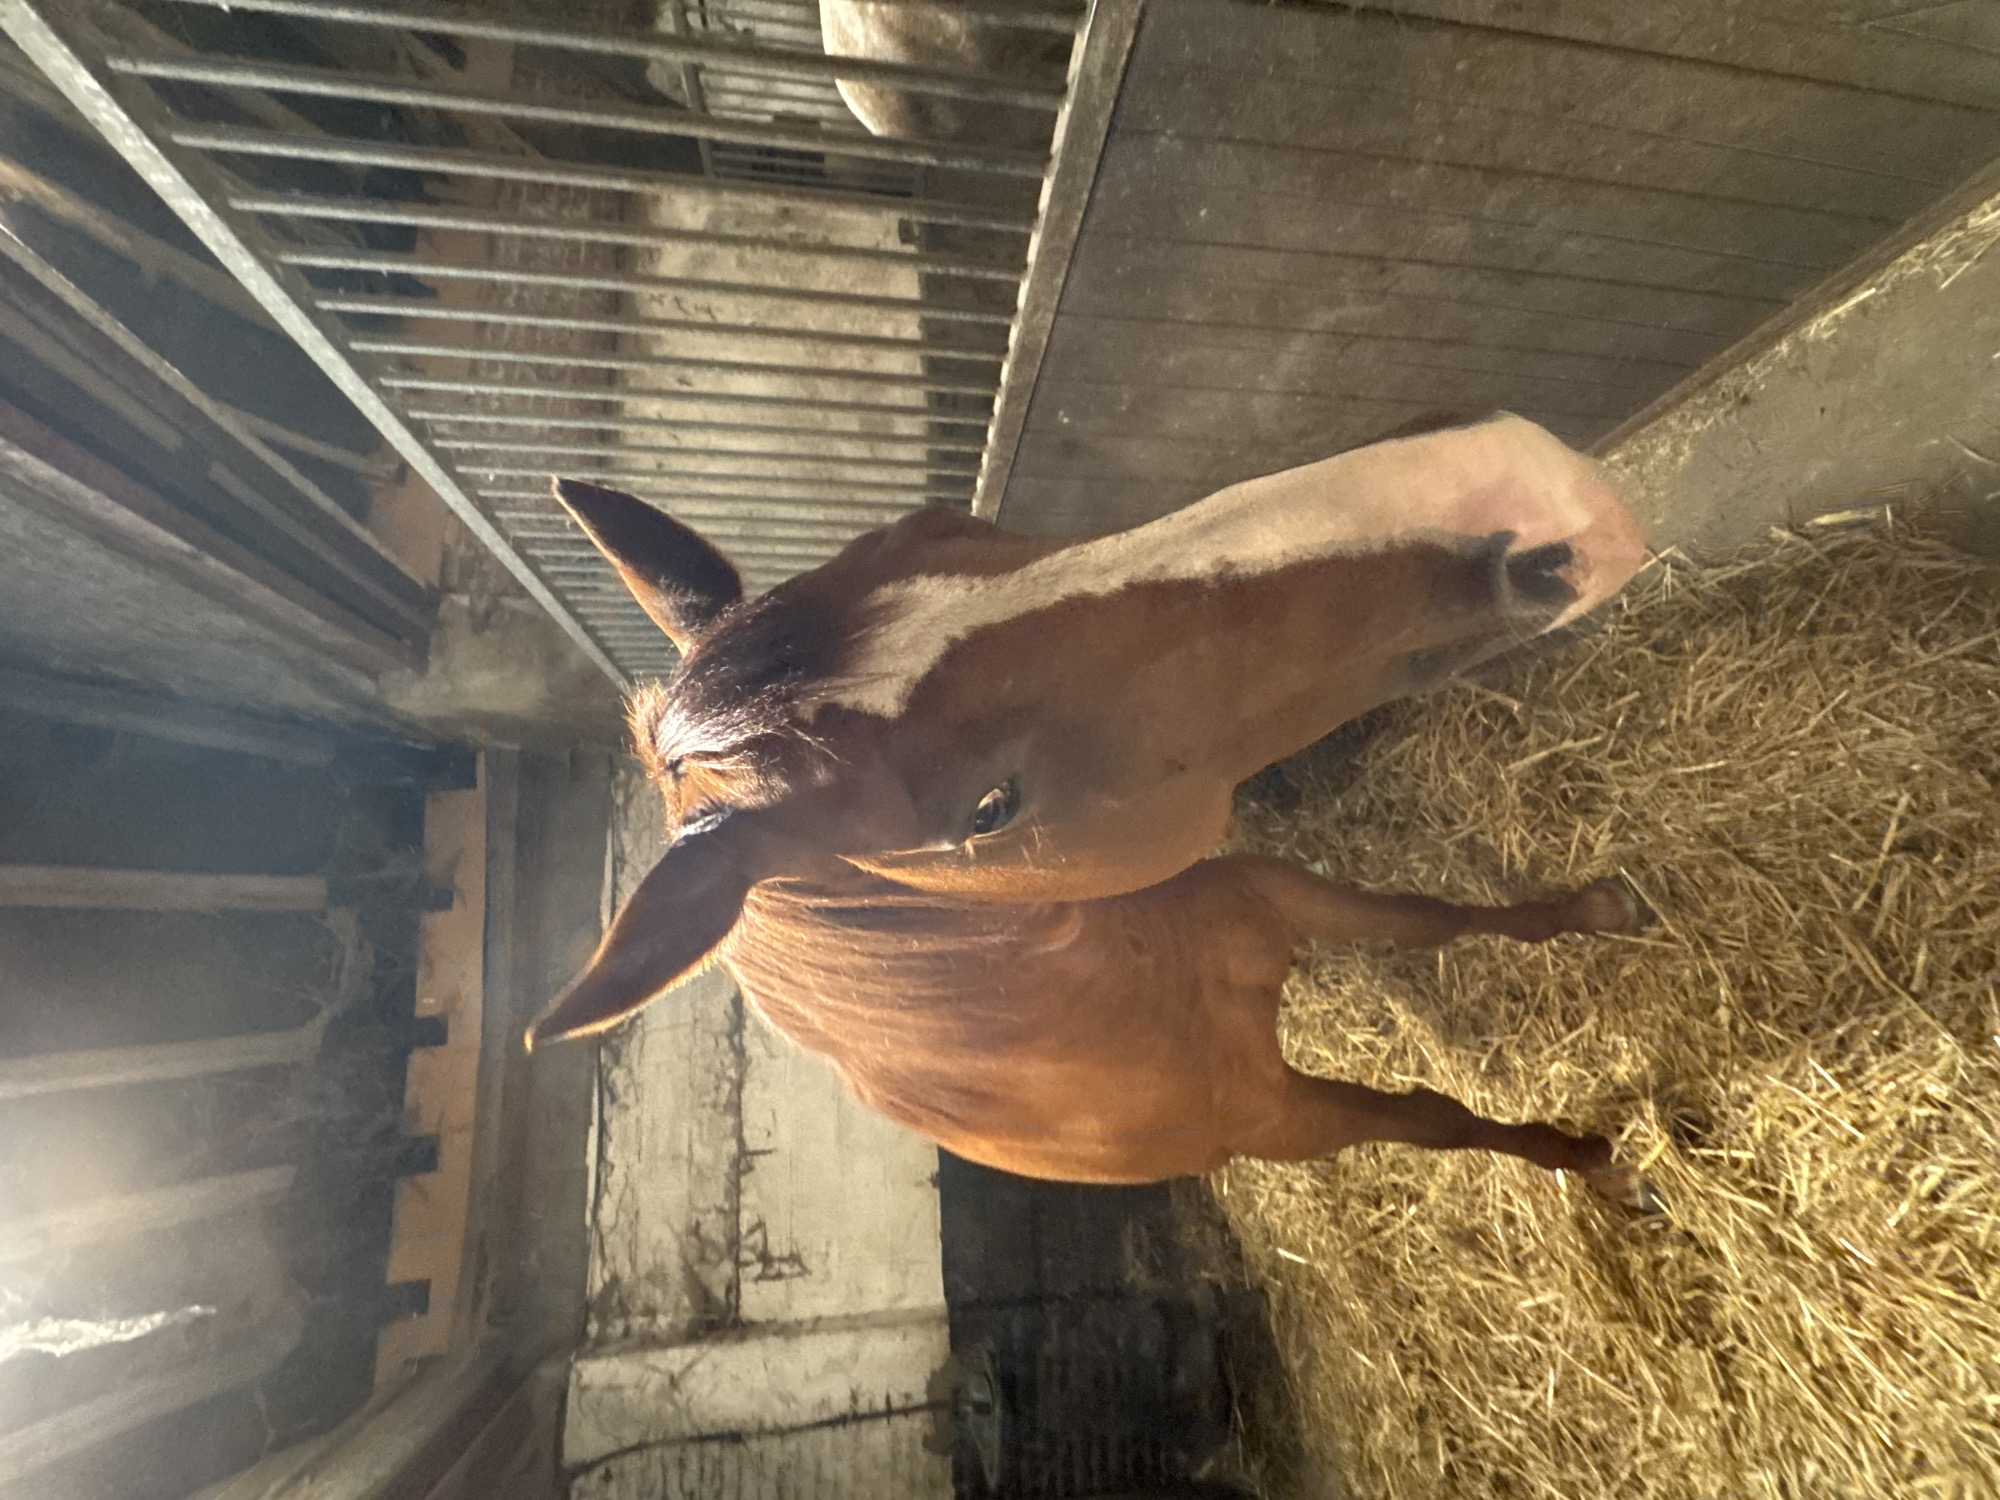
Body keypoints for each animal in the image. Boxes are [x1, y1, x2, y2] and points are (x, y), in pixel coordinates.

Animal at [526, 415, 1654, 1201]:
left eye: (938, 521)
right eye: (987, 806)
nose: (1502, 480)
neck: (1124, 989)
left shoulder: (1271, 890)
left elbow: (1434, 918)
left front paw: (1592, 914)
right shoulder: (1278, 1120)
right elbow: (1436, 1117)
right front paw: (1583, 1157)